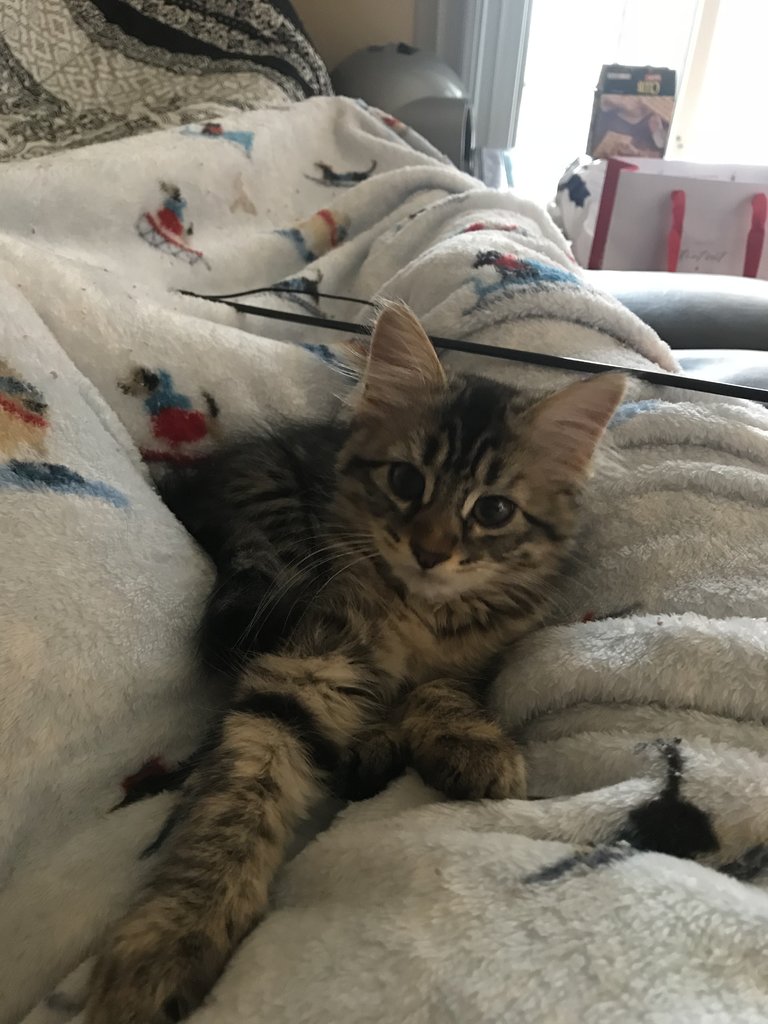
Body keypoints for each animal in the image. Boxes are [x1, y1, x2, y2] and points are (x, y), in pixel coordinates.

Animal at [85, 303, 626, 1024]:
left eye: (492, 510)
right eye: (406, 481)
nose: (430, 551)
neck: (422, 615)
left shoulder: (478, 656)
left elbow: (442, 692)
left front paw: (469, 741)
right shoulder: (307, 663)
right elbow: (236, 799)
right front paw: (172, 936)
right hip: (276, 534)